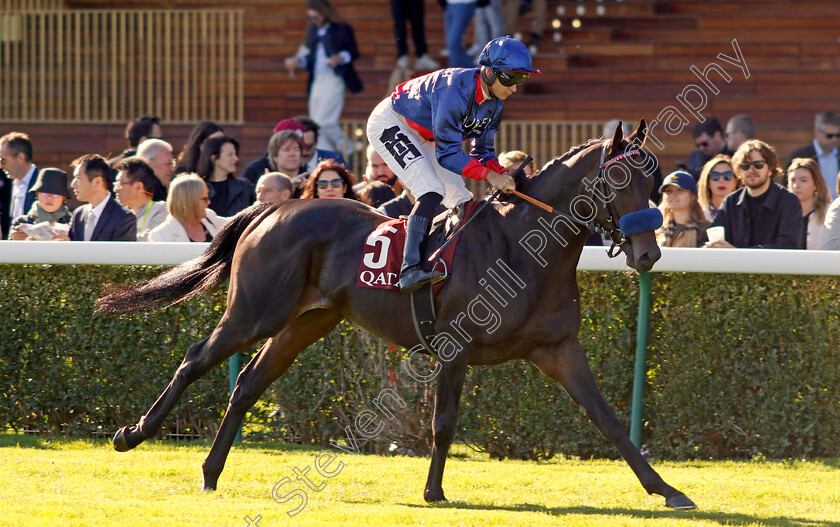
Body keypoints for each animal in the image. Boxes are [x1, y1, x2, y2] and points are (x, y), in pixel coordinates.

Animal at [98, 122, 700, 512]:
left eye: (656, 180)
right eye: (621, 182)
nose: (649, 253)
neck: (523, 248)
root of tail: (277, 205)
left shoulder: (559, 349)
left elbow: (609, 421)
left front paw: (668, 490)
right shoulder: (456, 345)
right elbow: (443, 422)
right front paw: (434, 492)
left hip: (307, 321)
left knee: (247, 383)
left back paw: (210, 472)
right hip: (254, 312)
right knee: (195, 359)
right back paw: (132, 435)